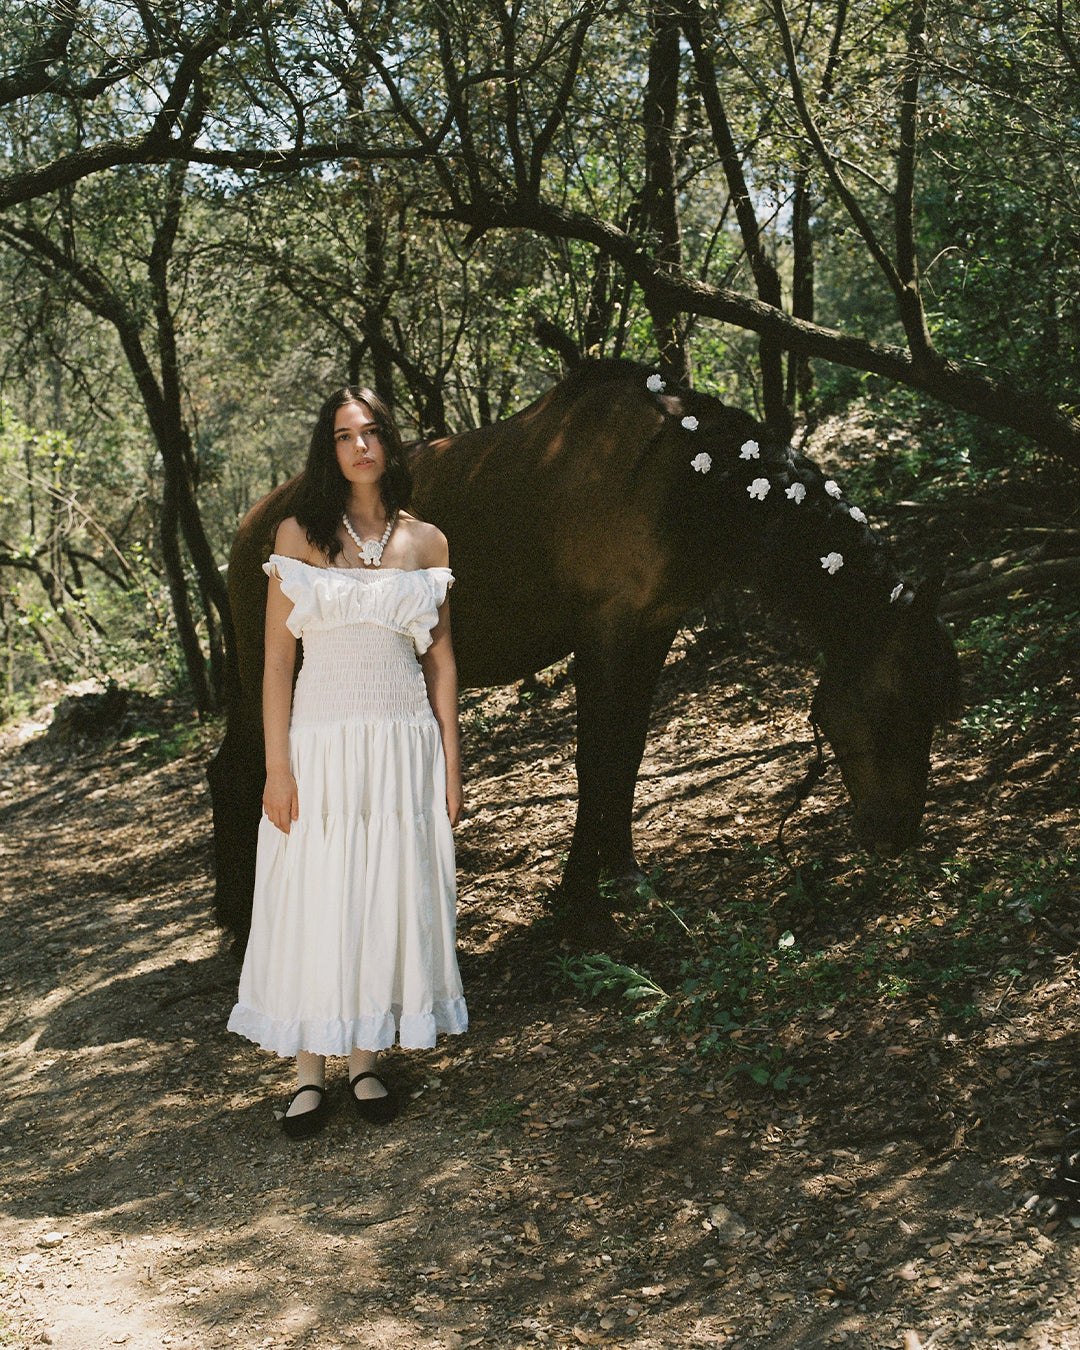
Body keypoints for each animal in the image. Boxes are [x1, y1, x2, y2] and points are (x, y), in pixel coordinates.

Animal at [210, 361, 961, 950]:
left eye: (937, 708)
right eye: (893, 705)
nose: (897, 834)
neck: (680, 475)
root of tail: (247, 530)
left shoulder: (650, 632)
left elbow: (624, 756)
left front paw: (622, 877)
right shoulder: (605, 635)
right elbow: (597, 761)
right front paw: (580, 902)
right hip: (275, 669)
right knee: (244, 773)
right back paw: (242, 924)